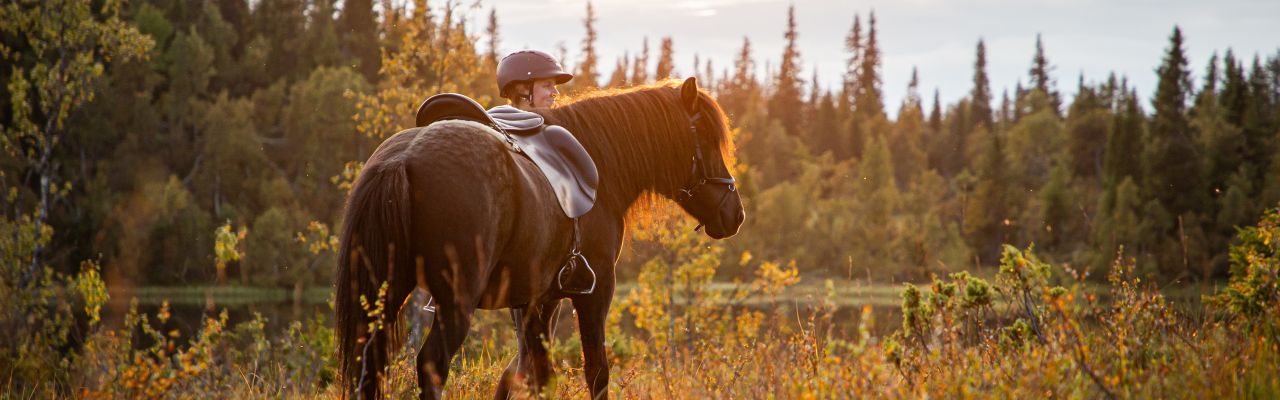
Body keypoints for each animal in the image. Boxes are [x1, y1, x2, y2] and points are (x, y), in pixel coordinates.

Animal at [335, 77, 744, 399]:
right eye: (708, 139)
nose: (735, 215)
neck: (599, 164)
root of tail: (401, 160)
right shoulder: (594, 293)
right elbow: (596, 371)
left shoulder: (539, 302)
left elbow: (532, 375)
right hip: (455, 302)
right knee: (431, 365)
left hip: (383, 295)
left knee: (370, 364)